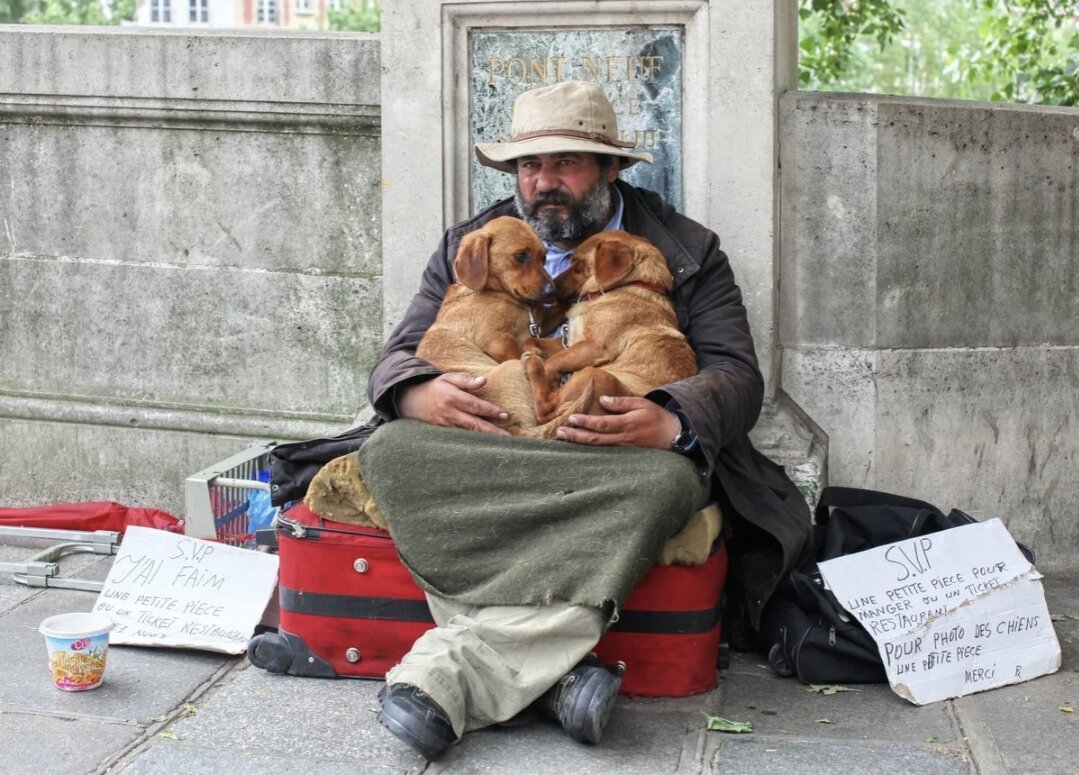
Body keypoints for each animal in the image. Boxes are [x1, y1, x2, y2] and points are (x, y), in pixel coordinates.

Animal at [524, 234, 699, 433]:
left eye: (577, 265)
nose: (551, 289)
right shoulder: (572, 341)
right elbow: (532, 341)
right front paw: (534, 350)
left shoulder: (593, 347)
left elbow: (553, 362)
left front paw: (547, 372)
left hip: (595, 374)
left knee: (546, 410)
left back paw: (534, 366)